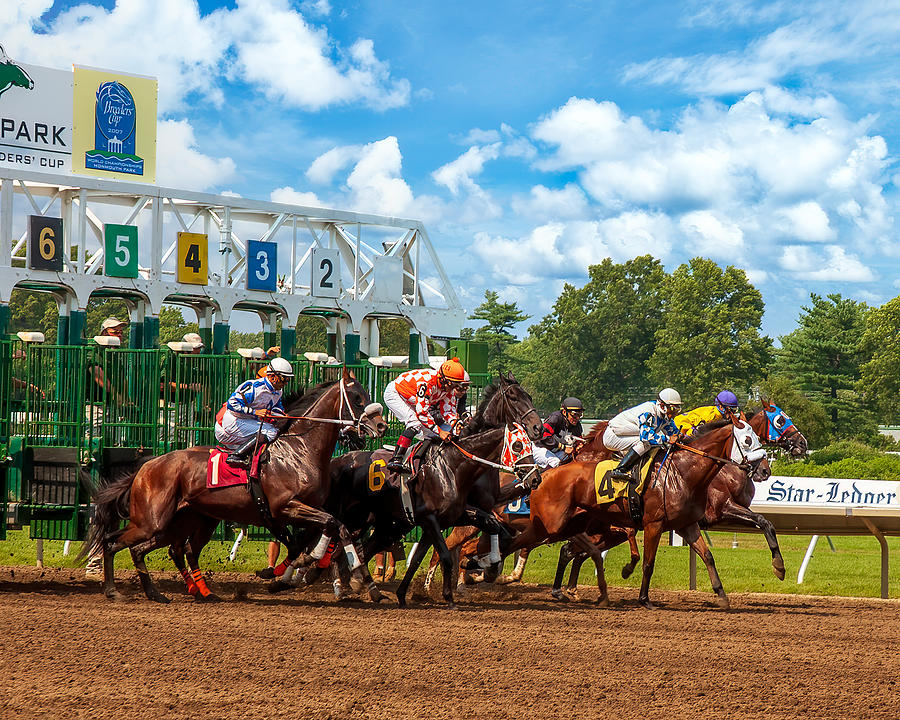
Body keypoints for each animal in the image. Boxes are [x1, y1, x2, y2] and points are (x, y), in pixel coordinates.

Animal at [85, 368, 390, 604]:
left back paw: (179, 593)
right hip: (153, 521)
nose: (381, 425)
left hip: (184, 521)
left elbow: (329, 530)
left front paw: (298, 572)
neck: (300, 449)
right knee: (115, 543)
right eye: (357, 398)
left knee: (163, 550)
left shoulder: (306, 511)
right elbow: (328, 528)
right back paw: (116, 591)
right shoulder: (285, 508)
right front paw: (342, 573)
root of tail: (146, 466)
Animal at [502, 420, 768, 612]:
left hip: (575, 525)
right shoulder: (654, 524)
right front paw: (643, 598)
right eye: (747, 439)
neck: (683, 473)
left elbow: (708, 556)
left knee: (567, 550)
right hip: (555, 524)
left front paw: (722, 596)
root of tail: (542, 476)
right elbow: (648, 563)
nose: (765, 470)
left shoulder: (687, 525)